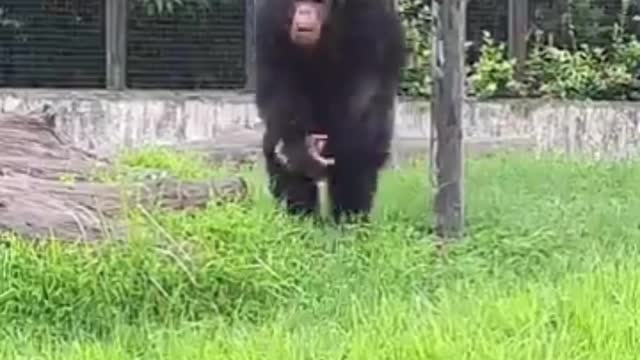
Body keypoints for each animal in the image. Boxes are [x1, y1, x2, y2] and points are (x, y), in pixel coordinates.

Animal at [254, 0, 404, 222]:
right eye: (297, 1)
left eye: (320, 3)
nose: (305, 12)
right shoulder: (268, 19)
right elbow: (277, 81)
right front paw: (296, 149)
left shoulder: (372, 16)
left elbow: (369, 81)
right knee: (275, 141)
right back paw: (303, 218)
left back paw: (349, 220)